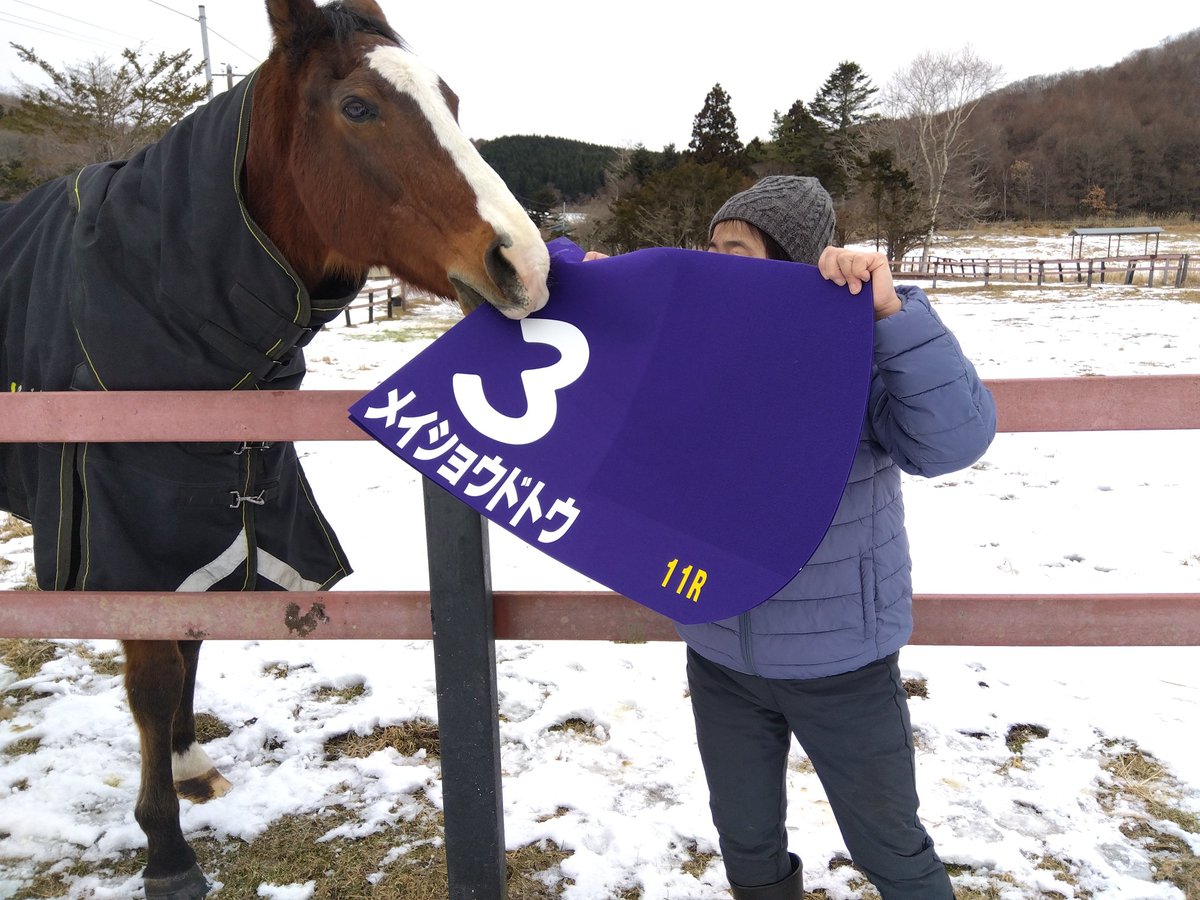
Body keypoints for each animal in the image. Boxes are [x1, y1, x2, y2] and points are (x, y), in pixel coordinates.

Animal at [0, 0, 550, 896]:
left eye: (452, 100)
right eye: (358, 107)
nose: (525, 267)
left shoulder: (216, 509)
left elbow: (193, 635)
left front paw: (188, 764)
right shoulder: (129, 532)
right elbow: (153, 678)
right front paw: (168, 852)